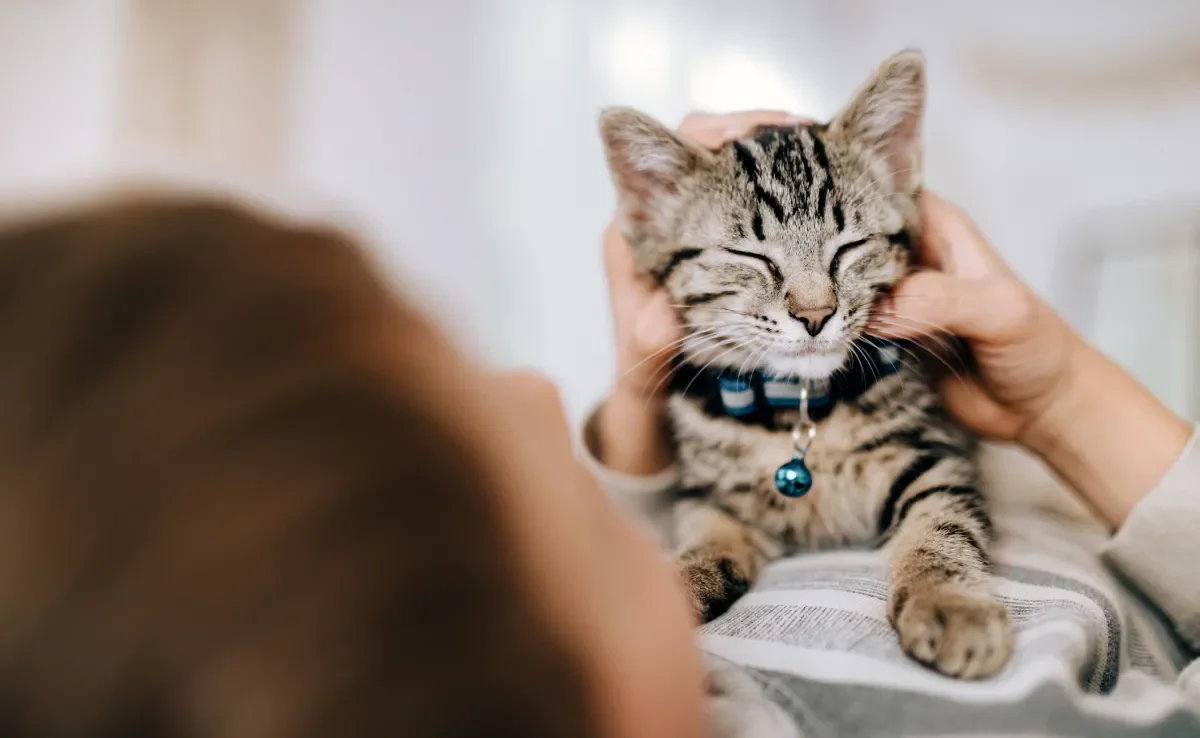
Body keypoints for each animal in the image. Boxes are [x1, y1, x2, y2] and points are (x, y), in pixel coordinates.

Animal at [600, 49, 1012, 676]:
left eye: (849, 247)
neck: (794, 408)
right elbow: (704, 533)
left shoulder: (937, 454)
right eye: (749, 256)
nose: (816, 314)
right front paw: (680, 581)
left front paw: (950, 602)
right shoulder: (708, 494)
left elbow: (940, 524)